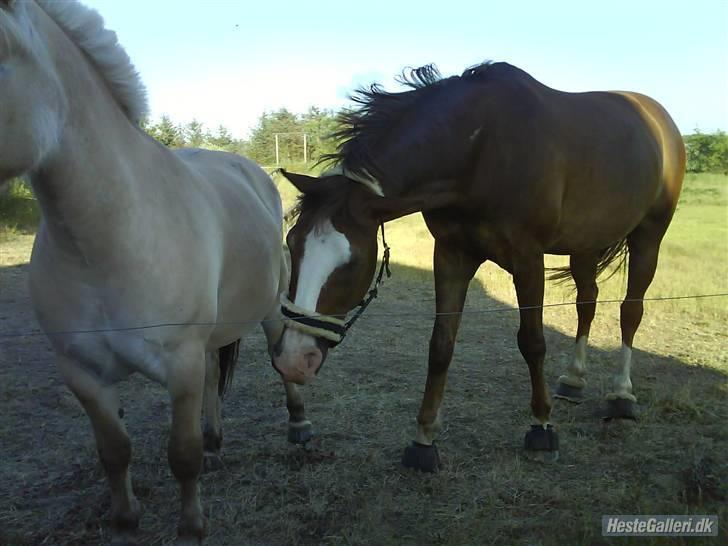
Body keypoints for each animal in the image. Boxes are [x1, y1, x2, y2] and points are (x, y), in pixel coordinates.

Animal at [0, 2, 310, 540]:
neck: (103, 243)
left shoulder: (179, 364)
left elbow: (180, 454)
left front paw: (192, 526)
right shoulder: (82, 372)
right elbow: (114, 449)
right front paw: (126, 519)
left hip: (269, 310)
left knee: (278, 358)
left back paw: (298, 426)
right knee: (214, 374)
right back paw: (215, 443)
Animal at [272, 58, 684, 468]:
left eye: (352, 261)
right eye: (291, 243)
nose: (293, 360)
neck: (481, 149)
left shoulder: (528, 259)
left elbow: (532, 342)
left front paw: (541, 426)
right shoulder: (451, 255)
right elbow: (441, 344)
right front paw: (424, 439)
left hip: (649, 236)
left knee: (631, 311)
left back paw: (622, 396)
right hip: (585, 245)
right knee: (588, 302)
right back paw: (573, 379)